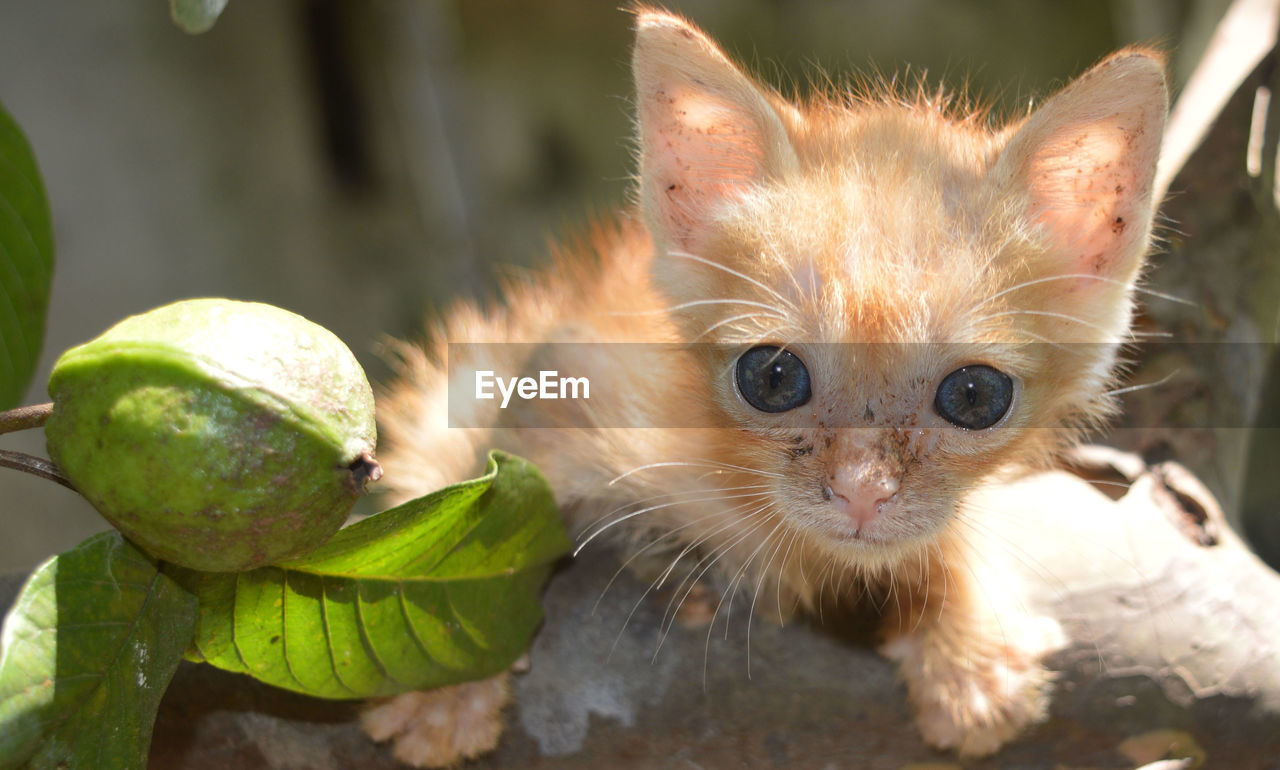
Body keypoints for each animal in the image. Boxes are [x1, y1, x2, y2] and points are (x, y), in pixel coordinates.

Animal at [363, 8, 1172, 762]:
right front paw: (443, 686)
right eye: (774, 377)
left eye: (974, 396)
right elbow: (470, 499)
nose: (861, 493)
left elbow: (939, 535)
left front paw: (966, 646)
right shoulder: (538, 374)